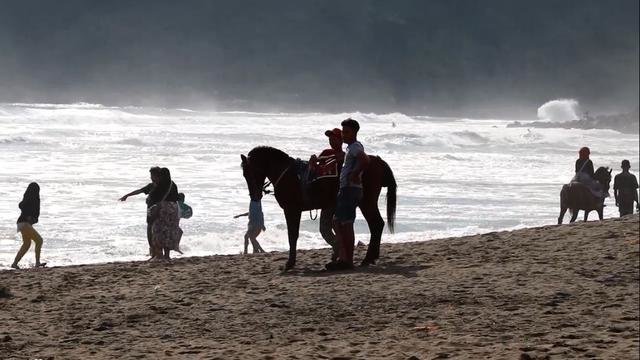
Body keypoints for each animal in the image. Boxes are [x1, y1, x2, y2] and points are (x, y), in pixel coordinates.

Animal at [241, 146, 396, 270]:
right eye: (244, 174)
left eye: (249, 172)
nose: (254, 196)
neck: (289, 175)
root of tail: (377, 161)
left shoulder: (292, 210)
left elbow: (292, 235)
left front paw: (290, 263)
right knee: (377, 225)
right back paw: (370, 258)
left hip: (366, 202)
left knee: (376, 224)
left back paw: (367, 258)